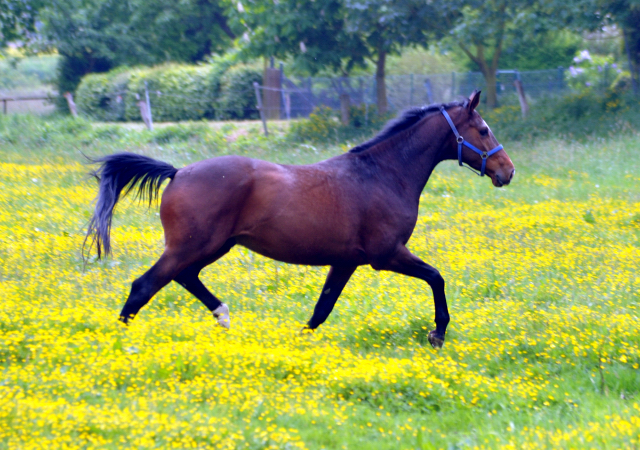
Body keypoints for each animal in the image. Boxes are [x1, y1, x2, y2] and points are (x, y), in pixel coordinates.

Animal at [85, 90, 516, 348]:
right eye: (483, 129)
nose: (507, 171)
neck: (383, 174)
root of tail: (178, 172)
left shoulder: (346, 261)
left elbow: (322, 309)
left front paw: (299, 341)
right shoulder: (387, 254)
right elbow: (437, 277)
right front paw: (437, 333)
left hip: (213, 246)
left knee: (183, 277)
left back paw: (223, 316)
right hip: (192, 245)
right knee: (144, 285)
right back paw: (120, 342)